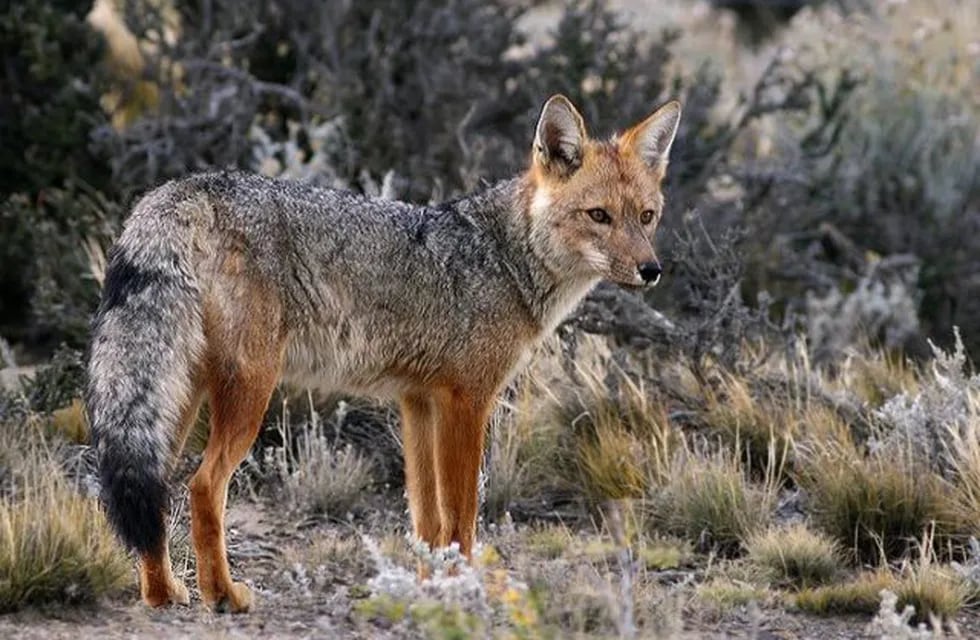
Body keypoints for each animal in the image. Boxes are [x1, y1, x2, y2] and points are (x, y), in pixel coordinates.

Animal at [86, 94, 680, 608]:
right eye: (599, 216)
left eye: (647, 217)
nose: (651, 270)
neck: (505, 259)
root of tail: (184, 187)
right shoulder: (468, 402)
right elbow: (462, 515)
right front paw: (464, 588)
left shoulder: (418, 402)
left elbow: (428, 518)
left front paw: (426, 585)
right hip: (251, 392)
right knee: (203, 486)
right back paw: (223, 596)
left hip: (177, 400)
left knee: (151, 489)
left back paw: (163, 593)